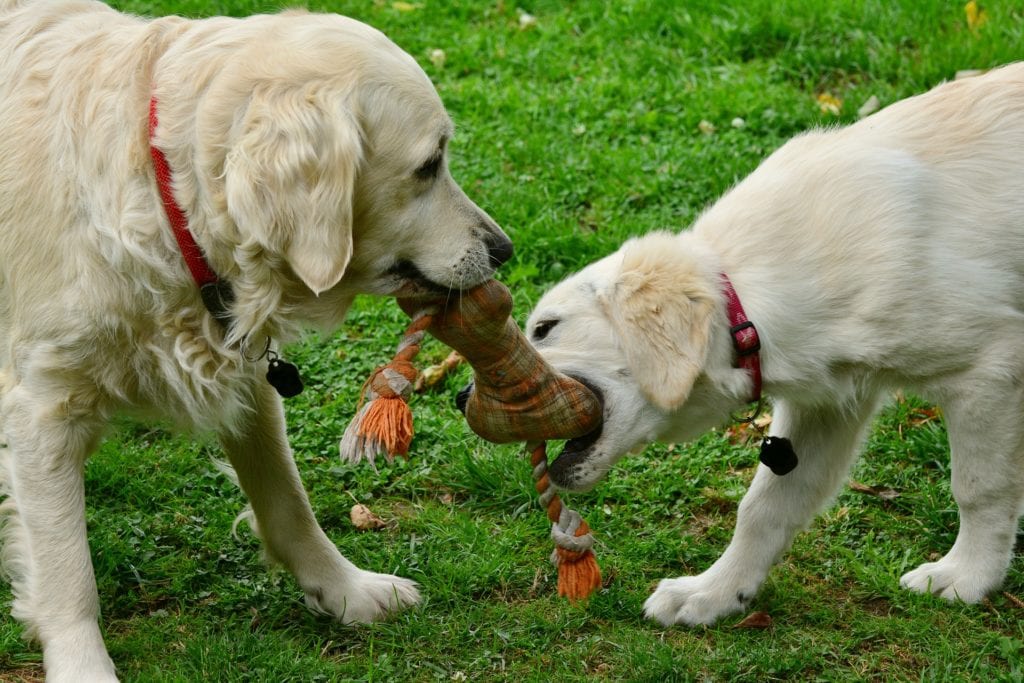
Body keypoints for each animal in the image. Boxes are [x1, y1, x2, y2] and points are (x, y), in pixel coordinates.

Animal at [0, 0, 512, 679]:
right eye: (429, 165)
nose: (504, 250)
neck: (164, 195)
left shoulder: (248, 379)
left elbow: (288, 502)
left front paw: (347, 589)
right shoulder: (44, 408)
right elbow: (67, 571)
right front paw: (83, 665)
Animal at [528, 65, 1024, 630]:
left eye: (545, 327)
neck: (746, 302)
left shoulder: (988, 367)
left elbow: (979, 488)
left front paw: (968, 578)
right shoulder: (829, 404)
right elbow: (765, 506)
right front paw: (715, 593)